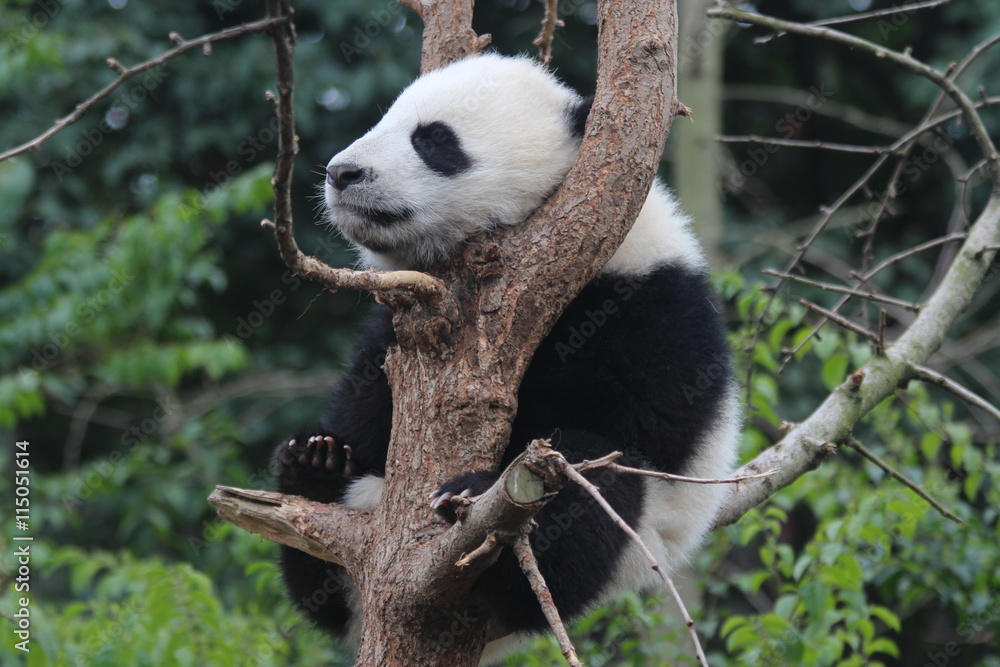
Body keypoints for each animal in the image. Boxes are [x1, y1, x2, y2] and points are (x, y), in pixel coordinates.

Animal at [273, 53, 740, 661]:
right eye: (385, 120)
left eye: (434, 139)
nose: (342, 173)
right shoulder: (404, 325)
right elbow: (369, 400)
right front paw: (324, 452)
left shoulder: (645, 307)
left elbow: (636, 415)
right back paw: (314, 472)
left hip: (634, 538)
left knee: (586, 487)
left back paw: (477, 506)